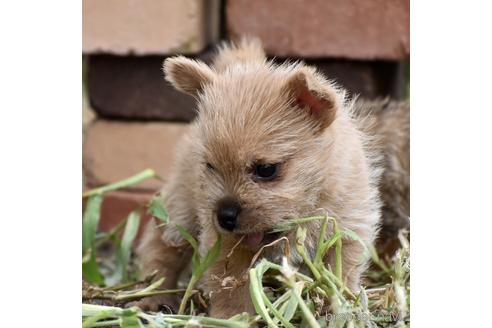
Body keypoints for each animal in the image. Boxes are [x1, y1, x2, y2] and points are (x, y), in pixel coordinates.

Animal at [136, 38, 382, 318]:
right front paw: (232, 317)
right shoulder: (227, 246)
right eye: (210, 166)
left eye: (266, 169)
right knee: (161, 249)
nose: (224, 216)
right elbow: (230, 286)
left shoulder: (348, 232)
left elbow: (341, 273)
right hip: (180, 211)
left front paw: (343, 307)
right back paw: (153, 296)